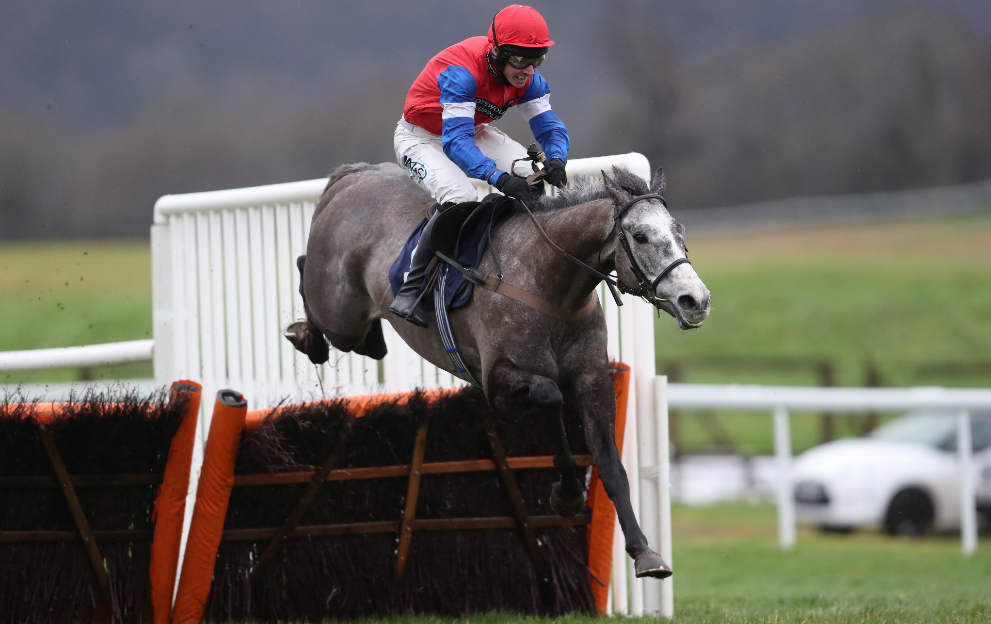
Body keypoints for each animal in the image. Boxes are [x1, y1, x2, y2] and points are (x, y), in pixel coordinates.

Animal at [286, 162, 711, 578]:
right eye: (640, 236)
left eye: (679, 232)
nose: (696, 301)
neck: (548, 282)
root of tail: (354, 174)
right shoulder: (497, 384)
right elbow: (549, 395)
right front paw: (567, 493)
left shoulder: (592, 381)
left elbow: (611, 464)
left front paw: (644, 552)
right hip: (339, 316)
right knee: (307, 277)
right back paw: (304, 334)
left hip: (356, 329)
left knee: (368, 341)